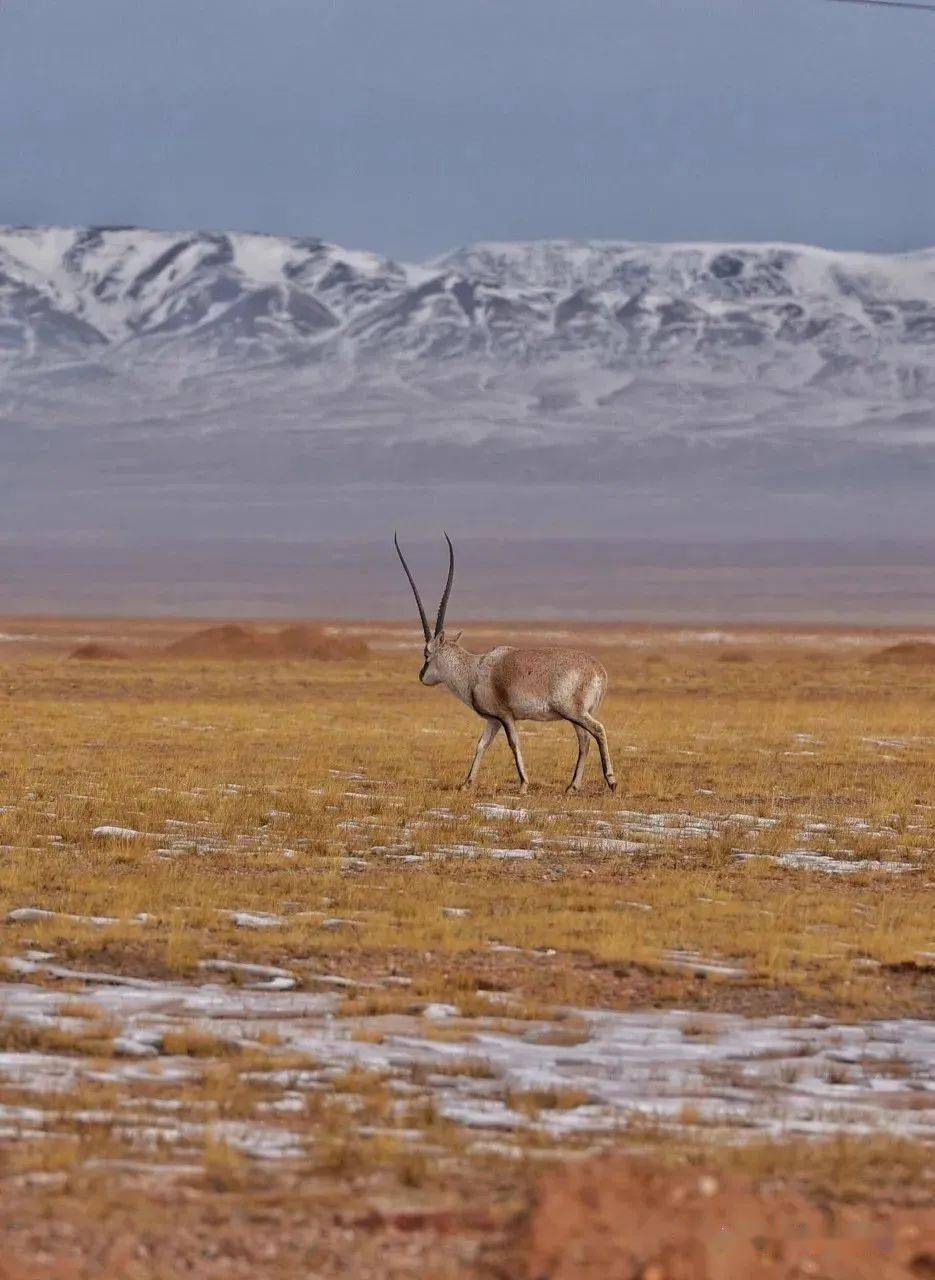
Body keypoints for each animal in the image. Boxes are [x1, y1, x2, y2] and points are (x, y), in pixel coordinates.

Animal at [391, 527, 614, 788]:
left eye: (427, 652)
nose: (421, 675)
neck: (474, 669)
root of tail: (599, 670)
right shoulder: (493, 720)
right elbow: (481, 744)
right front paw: (467, 783)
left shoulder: (506, 716)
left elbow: (513, 743)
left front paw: (524, 784)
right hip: (576, 716)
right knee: (584, 740)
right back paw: (572, 787)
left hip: (574, 712)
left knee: (597, 731)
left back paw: (611, 780)